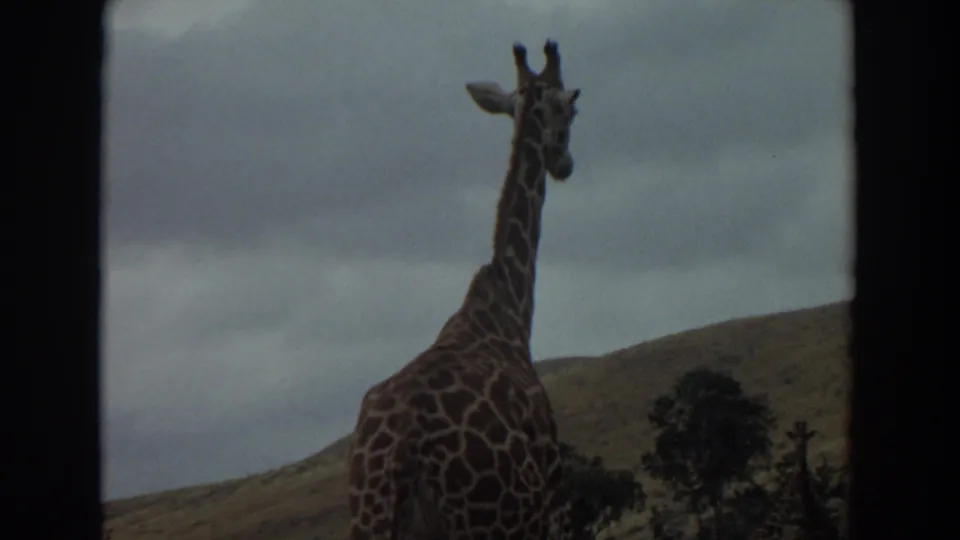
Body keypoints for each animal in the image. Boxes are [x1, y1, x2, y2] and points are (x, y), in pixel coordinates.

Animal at [346, 40, 581, 540]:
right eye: (572, 108)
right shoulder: (555, 504)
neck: (508, 306)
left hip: (368, 522)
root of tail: (403, 458)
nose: (565, 164)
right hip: (498, 521)